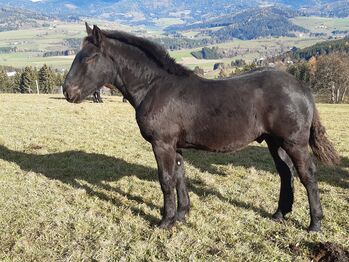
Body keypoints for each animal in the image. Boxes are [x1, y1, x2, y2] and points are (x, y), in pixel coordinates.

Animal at [61, 23, 338, 231]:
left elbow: (165, 179)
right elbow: (179, 176)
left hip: (294, 142)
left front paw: (165, 221)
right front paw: (181, 215)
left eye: (89, 58)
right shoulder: (175, 145)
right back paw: (280, 214)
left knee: (307, 175)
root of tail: (303, 88)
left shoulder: (162, 144)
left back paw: (314, 224)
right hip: (274, 142)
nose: (67, 91)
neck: (154, 87)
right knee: (285, 173)